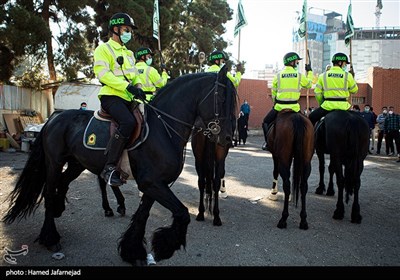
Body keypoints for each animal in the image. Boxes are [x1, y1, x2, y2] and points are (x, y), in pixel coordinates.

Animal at [3, 67, 238, 264]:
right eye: (221, 98)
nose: (228, 138)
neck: (163, 129)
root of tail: (55, 117)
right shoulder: (152, 183)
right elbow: (181, 213)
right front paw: (164, 247)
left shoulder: (154, 185)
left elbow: (142, 217)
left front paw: (132, 251)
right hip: (54, 162)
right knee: (50, 192)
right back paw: (50, 237)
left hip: (77, 164)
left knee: (63, 183)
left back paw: (62, 210)